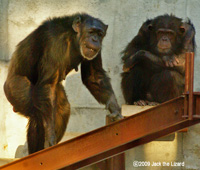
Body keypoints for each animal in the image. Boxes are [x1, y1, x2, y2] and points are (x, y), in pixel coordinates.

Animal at [3, 13, 122, 154]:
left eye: (100, 34)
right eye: (91, 32)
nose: (95, 39)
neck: (73, 37)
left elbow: (93, 75)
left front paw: (114, 107)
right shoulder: (54, 42)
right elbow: (48, 84)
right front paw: (50, 135)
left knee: (63, 108)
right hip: (15, 87)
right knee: (37, 114)